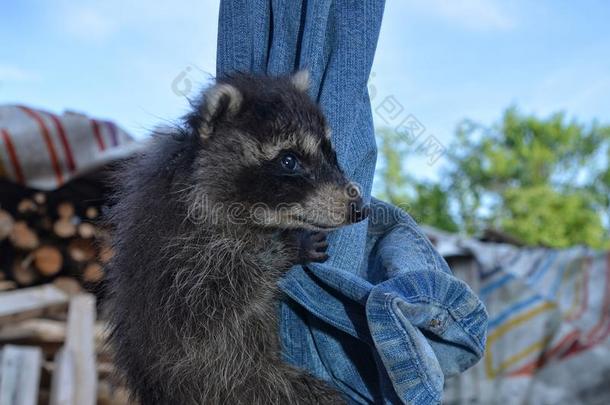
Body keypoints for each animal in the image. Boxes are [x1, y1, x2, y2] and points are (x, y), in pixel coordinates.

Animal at [105, 72, 366, 404]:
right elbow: (220, 293)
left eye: (330, 152)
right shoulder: (181, 258)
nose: (360, 209)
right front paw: (286, 249)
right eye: (289, 160)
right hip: (250, 385)